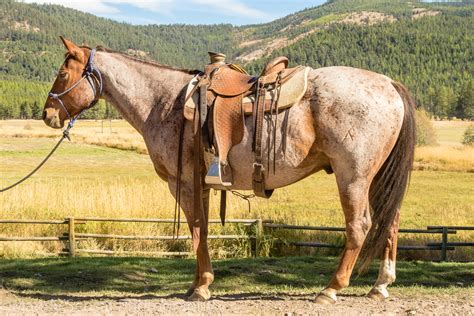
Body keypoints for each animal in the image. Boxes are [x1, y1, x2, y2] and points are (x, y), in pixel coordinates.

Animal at [43, 37, 414, 304]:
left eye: (62, 74)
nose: (48, 114)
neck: (164, 102)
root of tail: (389, 84)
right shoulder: (202, 185)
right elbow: (203, 230)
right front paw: (199, 284)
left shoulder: (184, 183)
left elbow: (197, 230)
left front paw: (201, 287)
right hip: (377, 178)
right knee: (390, 221)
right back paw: (380, 285)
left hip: (353, 177)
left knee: (360, 225)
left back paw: (331, 288)